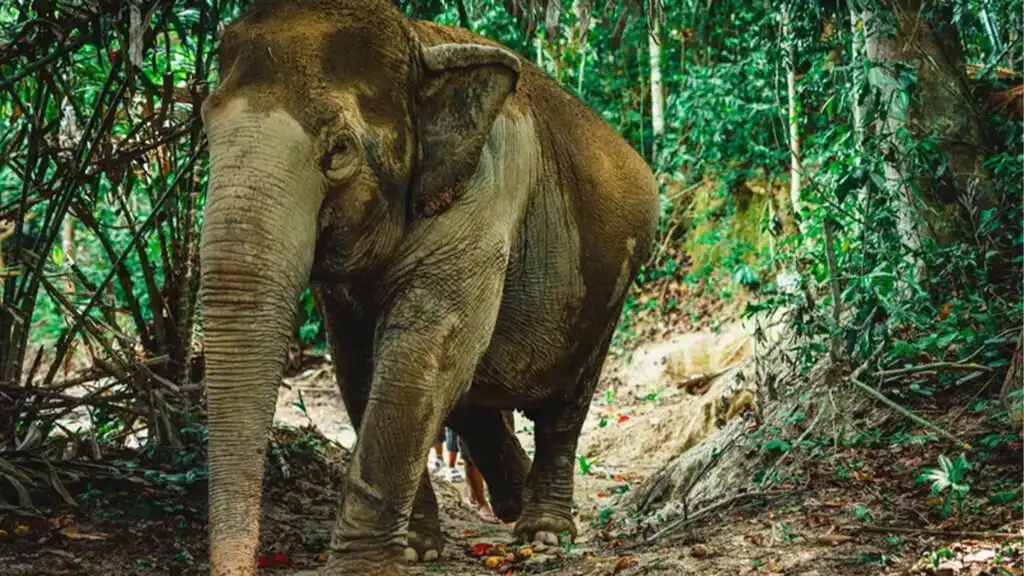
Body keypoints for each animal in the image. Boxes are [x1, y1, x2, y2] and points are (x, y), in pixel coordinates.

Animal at [197, 0, 658, 574]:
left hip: (609, 291)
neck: (419, 42)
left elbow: (419, 358)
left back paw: (544, 530)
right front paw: (416, 547)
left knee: (564, 409)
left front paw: (367, 567)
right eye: (205, 129)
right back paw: (511, 498)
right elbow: (360, 366)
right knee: (475, 393)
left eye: (340, 150)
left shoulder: (482, 203)